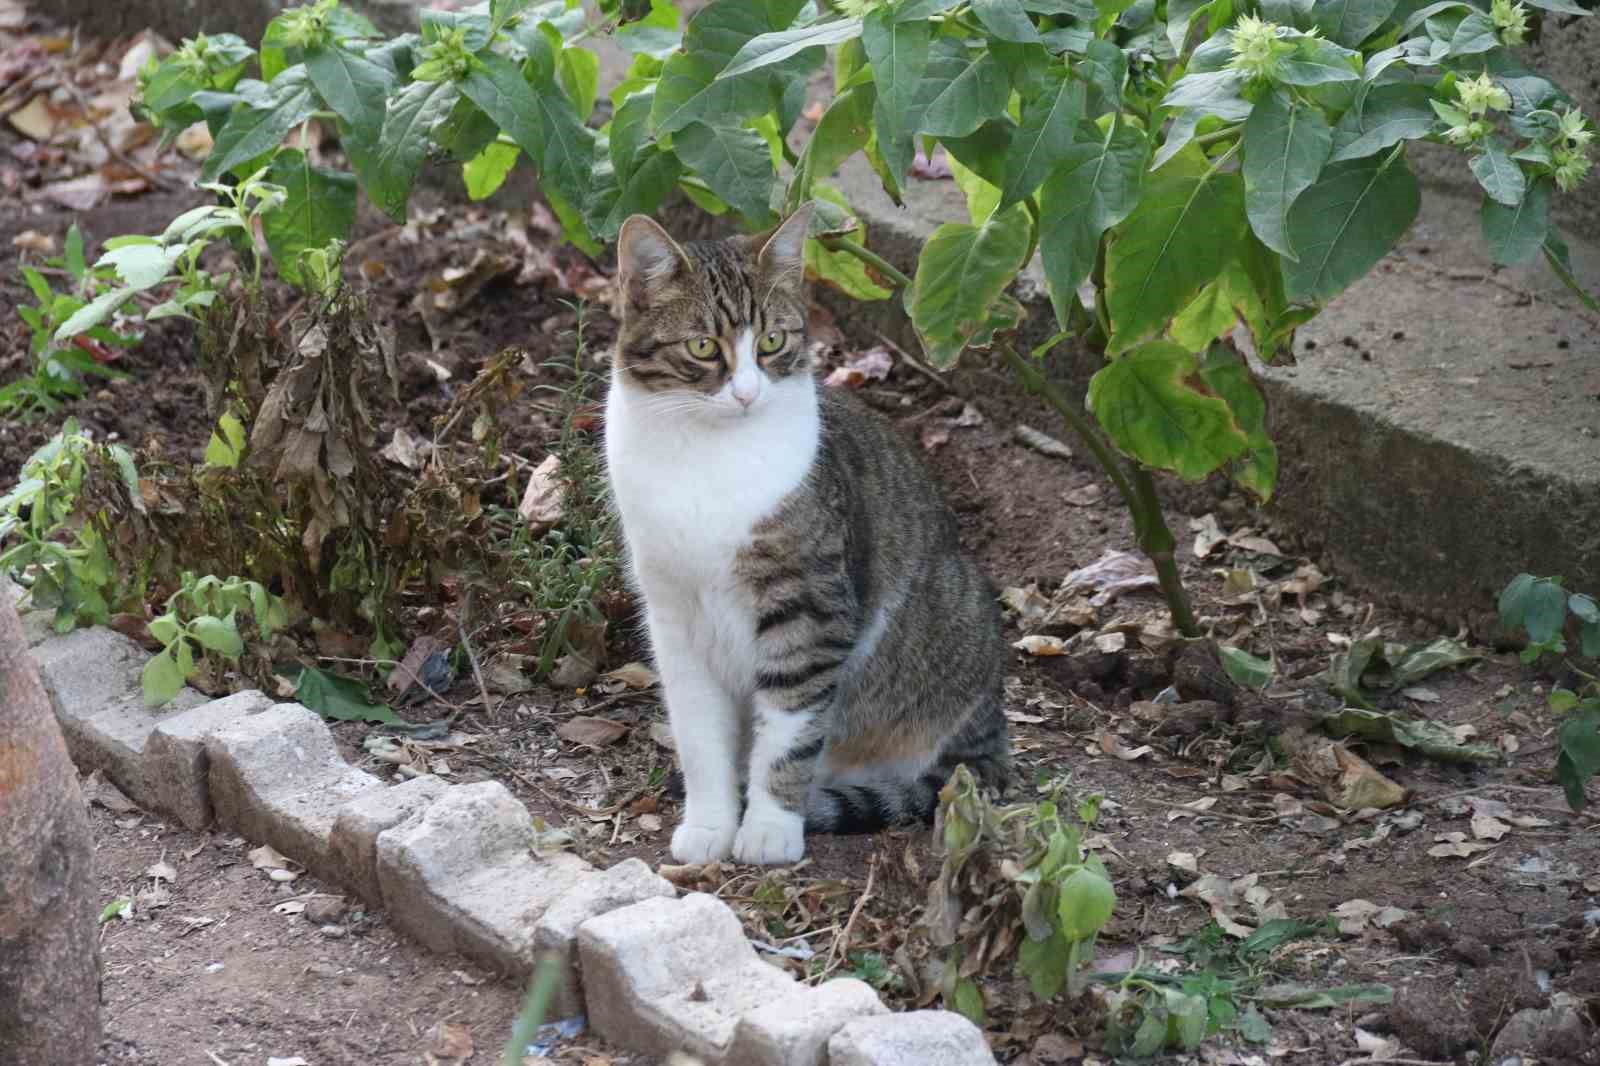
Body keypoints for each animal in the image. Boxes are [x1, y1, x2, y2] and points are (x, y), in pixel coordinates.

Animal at [604, 208, 1004, 864]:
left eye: (772, 341)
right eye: (702, 346)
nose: (746, 393)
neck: (707, 457)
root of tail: (995, 734)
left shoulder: (810, 608)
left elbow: (789, 730)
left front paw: (769, 828)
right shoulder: (674, 616)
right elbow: (698, 733)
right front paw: (709, 824)